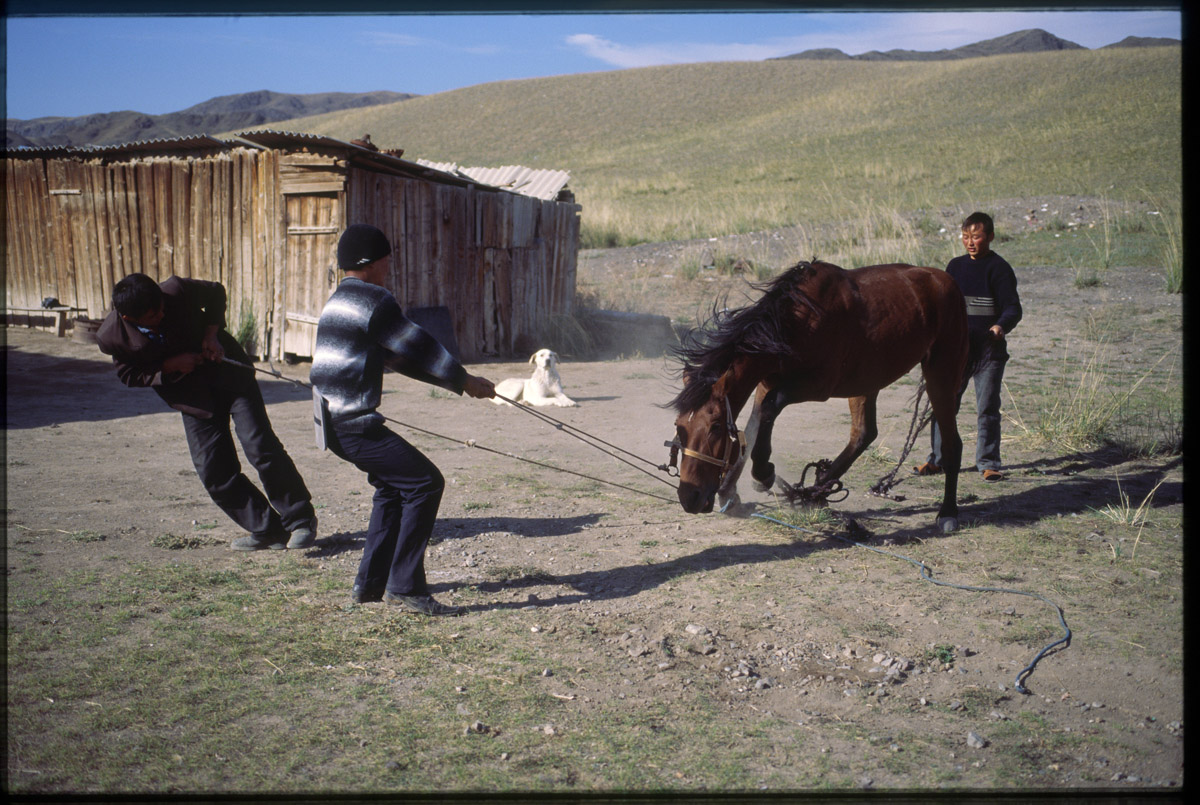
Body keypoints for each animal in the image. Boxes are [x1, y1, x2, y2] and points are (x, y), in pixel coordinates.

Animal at [672, 261, 969, 532]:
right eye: (680, 426)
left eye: (715, 428)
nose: (689, 497)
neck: (796, 322)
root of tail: (947, 280)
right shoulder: (765, 383)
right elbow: (753, 428)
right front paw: (730, 491)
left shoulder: (817, 386)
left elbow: (770, 409)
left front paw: (763, 473)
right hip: (866, 380)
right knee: (863, 433)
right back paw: (817, 487)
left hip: (941, 374)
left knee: (951, 443)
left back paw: (948, 512)